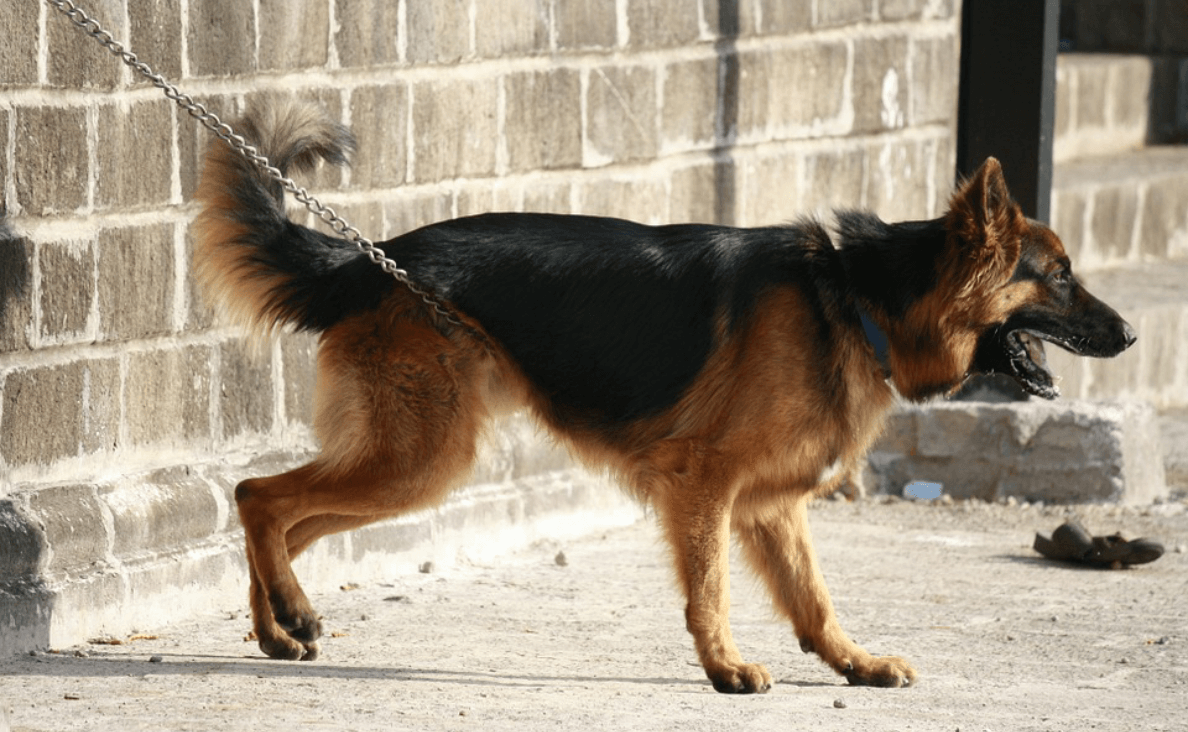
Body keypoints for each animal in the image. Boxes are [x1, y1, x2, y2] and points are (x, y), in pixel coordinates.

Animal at [192, 101, 1130, 693]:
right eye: (1060, 277)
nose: (1130, 336)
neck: (856, 299)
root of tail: (370, 258)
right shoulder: (703, 487)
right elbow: (710, 590)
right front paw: (726, 669)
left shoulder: (771, 507)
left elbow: (814, 598)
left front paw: (853, 663)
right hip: (420, 459)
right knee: (258, 494)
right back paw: (290, 613)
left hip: (408, 462)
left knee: (278, 518)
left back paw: (279, 625)